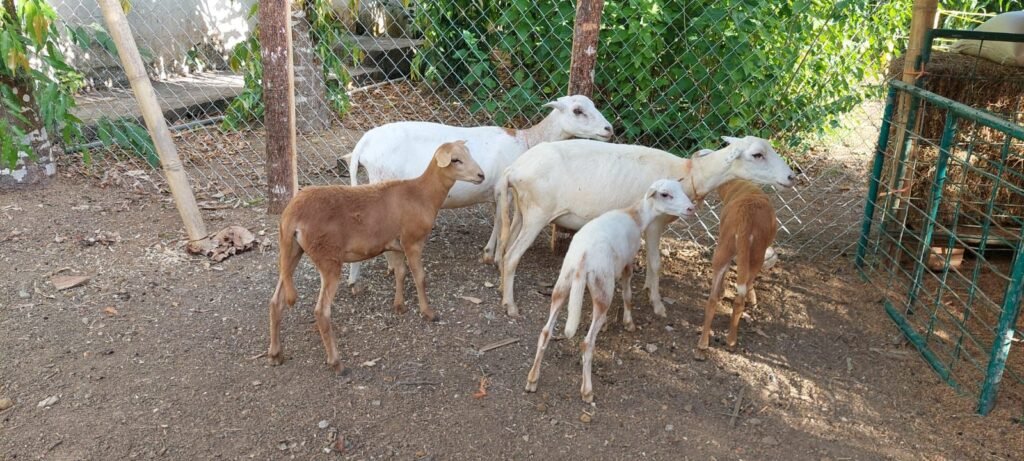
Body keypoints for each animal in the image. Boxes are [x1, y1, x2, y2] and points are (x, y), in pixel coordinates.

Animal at [266, 141, 485, 372]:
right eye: (455, 160)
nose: (481, 175)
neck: (422, 193)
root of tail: (291, 215)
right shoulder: (412, 241)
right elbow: (420, 277)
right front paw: (429, 313)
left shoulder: (394, 245)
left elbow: (400, 272)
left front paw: (399, 306)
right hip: (327, 259)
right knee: (321, 312)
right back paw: (336, 363)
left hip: (291, 251)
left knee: (275, 301)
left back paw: (275, 354)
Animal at [342, 95, 614, 293]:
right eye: (578, 111)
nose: (609, 129)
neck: (527, 141)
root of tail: (363, 144)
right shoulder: (504, 190)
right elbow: (501, 221)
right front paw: (493, 257)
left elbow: (497, 220)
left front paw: (489, 252)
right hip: (380, 181)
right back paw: (363, 276)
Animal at [497, 136, 797, 317]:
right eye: (757, 154)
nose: (792, 177)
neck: (691, 174)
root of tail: (514, 169)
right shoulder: (655, 224)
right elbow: (655, 262)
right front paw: (657, 303)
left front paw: (648, 290)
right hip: (538, 212)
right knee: (512, 256)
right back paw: (510, 305)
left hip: (523, 211)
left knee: (506, 249)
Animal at [524, 179, 697, 403]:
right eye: (665, 194)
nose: (691, 208)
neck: (635, 216)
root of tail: (583, 258)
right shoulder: (628, 262)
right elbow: (627, 294)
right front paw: (629, 323)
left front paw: (606, 325)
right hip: (601, 286)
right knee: (587, 343)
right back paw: (587, 391)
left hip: (564, 283)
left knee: (545, 332)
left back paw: (532, 380)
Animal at [694, 180, 777, 361]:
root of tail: (746, 219)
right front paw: (753, 298)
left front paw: (722, 292)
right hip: (756, 256)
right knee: (740, 299)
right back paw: (731, 341)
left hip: (723, 250)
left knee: (712, 299)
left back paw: (703, 343)